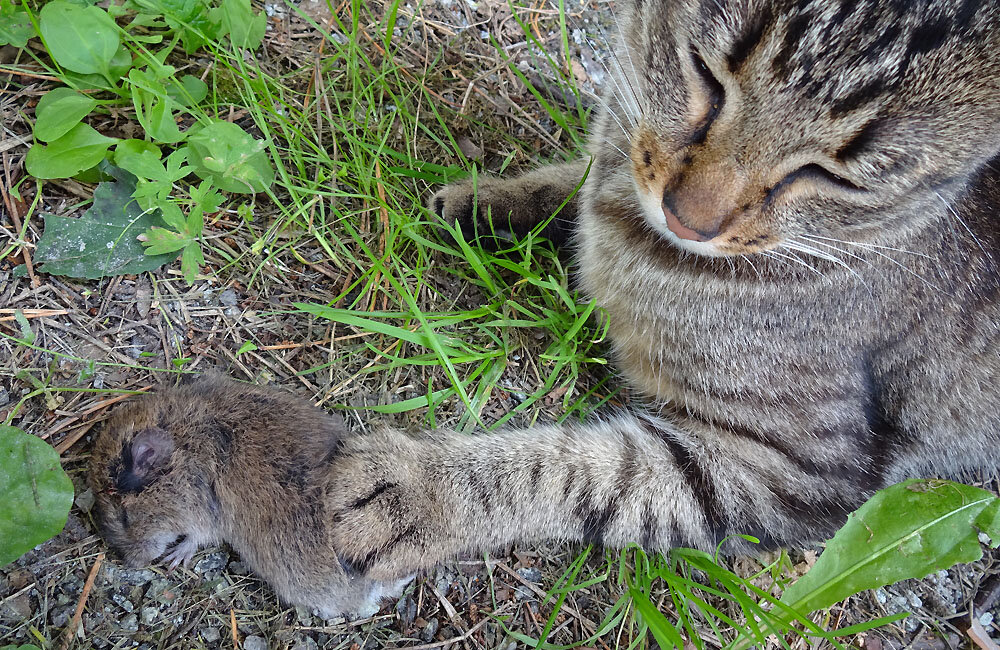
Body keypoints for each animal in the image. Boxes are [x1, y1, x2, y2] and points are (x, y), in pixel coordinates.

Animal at [326, 0, 1000, 588]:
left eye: (833, 175)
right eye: (706, 75)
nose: (687, 219)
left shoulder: (798, 470)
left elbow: (579, 474)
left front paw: (422, 492)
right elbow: (585, 177)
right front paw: (495, 200)